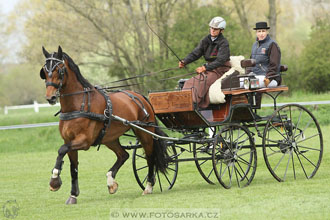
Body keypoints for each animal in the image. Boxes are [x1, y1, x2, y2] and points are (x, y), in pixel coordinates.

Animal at [40, 46, 169, 205]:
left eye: (60, 70)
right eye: (44, 71)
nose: (50, 97)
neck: (78, 105)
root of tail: (140, 97)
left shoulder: (84, 141)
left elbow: (61, 150)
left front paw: (54, 181)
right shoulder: (69, 141)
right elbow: (73, 167)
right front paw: (73, 195)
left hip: (145, 132)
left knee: (150, 156)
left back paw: (149, 186)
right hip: (109, 138)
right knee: (123, 155)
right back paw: (111, 182)